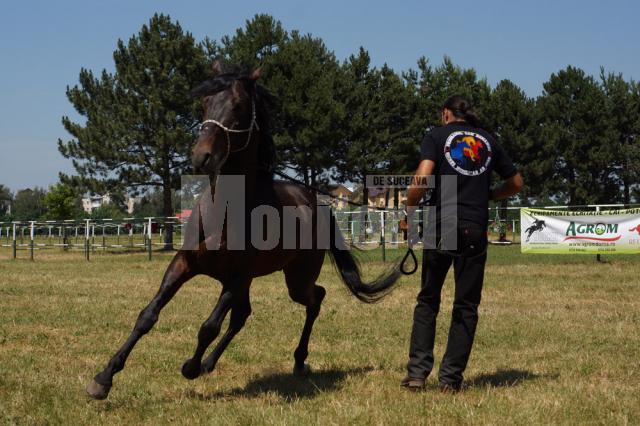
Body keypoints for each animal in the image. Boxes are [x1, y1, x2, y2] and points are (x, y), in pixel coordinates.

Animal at [87, 63, 402, 400]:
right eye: (205, 103)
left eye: (238, 106)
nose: (201, 157)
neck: (226, 210)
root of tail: (315, 203)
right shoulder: (184, 264)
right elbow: (148, 315)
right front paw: (103, 378)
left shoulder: (237, 277)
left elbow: (208, 327)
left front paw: (189, 367)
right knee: (243, 316)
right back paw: (211, 363)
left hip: (296, 279)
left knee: (315, 298)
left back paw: (297, 361)